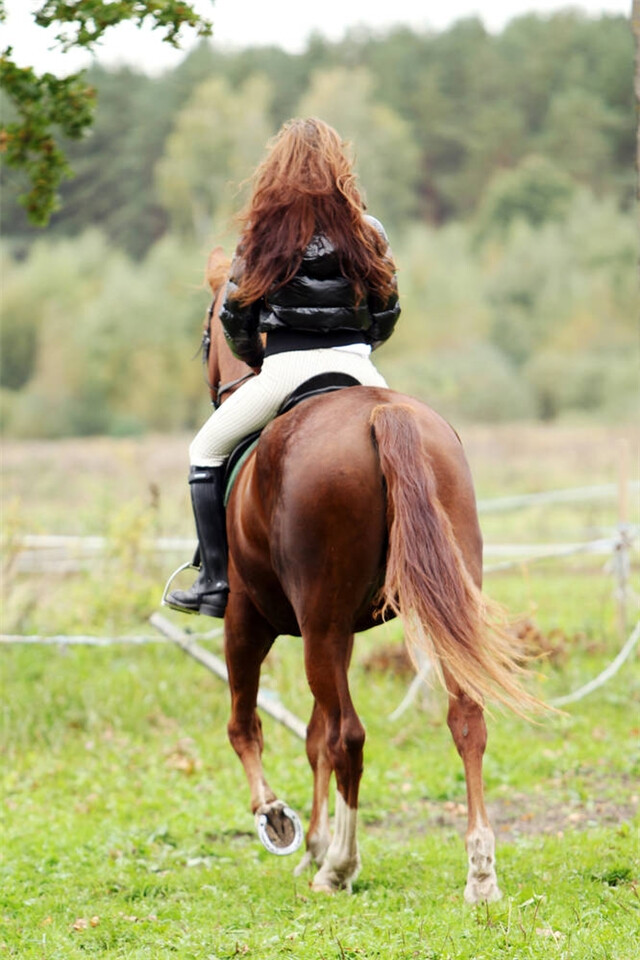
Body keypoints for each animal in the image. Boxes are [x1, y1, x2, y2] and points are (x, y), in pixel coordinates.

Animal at [198, 246, 536, 900]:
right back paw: (480, 872)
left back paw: (340, 866)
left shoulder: (247, 619)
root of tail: (383, 414)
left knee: (347, 735)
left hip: (314, 626)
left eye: (207, 333)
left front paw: (280, 822)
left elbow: (246, 724)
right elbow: (310, 737)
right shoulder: (342, 633)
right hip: (419, 609)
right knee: (465, 719)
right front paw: (309, 842)